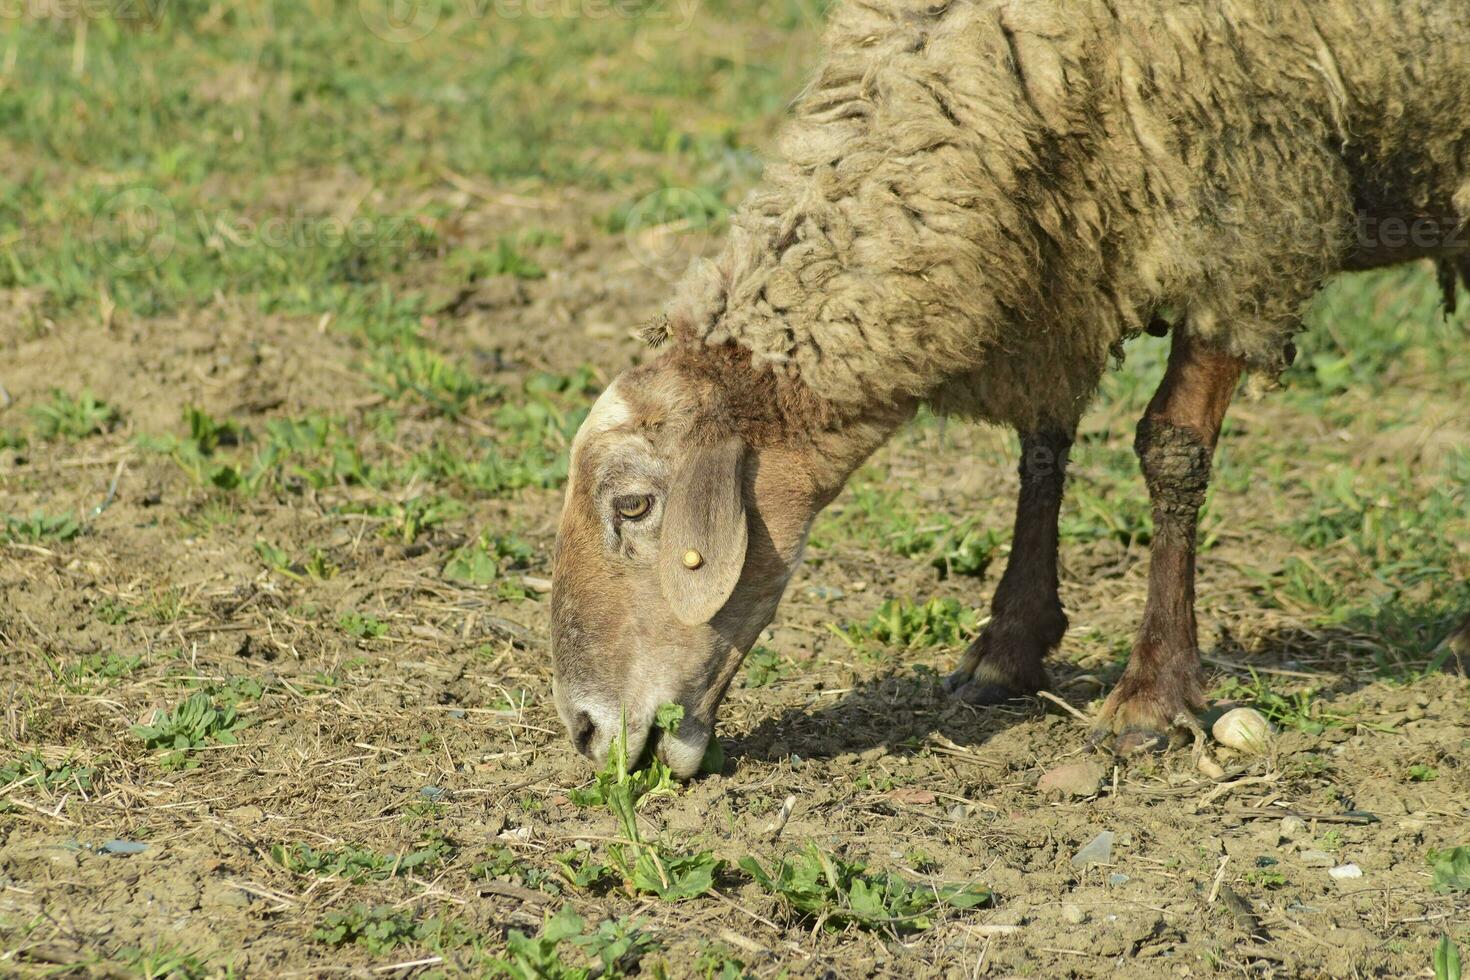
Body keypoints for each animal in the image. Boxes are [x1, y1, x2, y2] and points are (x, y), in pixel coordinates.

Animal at [552, 0, 1470, 775]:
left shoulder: (1245, 215)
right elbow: (1041, 449)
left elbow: (1171, 449)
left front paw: (1152, 694)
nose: (586, 730)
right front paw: (1010, 648)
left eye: (633, 505)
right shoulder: (1057, 257)